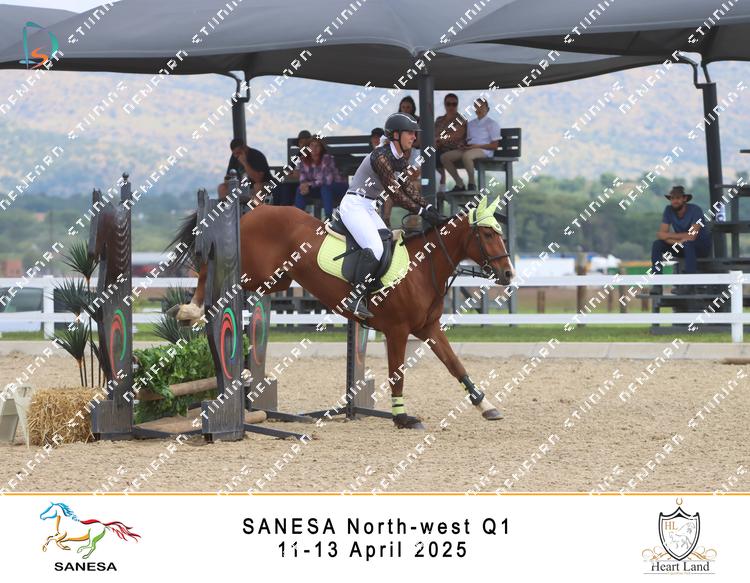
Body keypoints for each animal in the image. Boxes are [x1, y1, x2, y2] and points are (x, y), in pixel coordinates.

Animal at [173, 194, 515, 428]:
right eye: (487, 235)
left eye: (500, 232)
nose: (509, 274)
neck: (422, 267)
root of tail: (255, 211)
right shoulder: (398, 331)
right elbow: (397, 375)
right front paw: (402, 417)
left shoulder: (428, 328)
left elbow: (455, 365)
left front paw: (486, 406)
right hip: (253, 271)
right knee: (207, 266)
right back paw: (190, 310)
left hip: (274, 280)